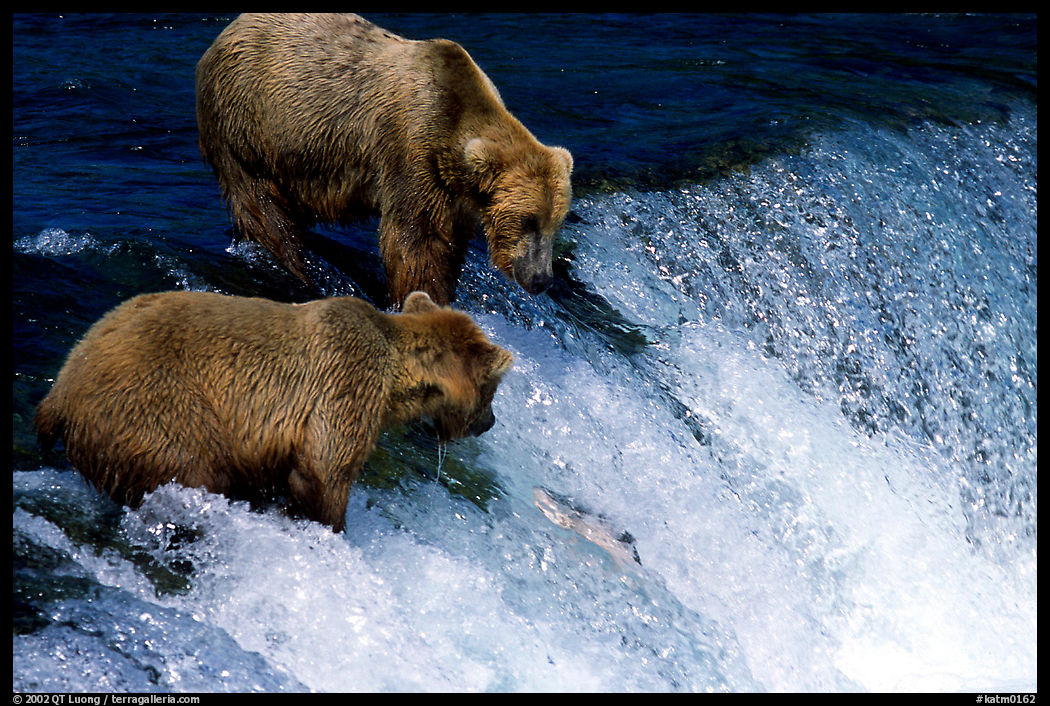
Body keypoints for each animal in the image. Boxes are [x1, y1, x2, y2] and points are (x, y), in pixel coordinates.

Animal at [34, 289, 513, 532]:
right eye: (493, 390)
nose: (489, 423)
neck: (397, 375)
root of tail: (59, 392)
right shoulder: (345, 380)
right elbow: (324, 470)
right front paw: (330, 527)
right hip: (155, 404)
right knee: (196, 468)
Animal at [195, 12, 574, 307]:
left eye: (555, 222)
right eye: (527, 220)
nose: (541, 279)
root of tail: (225, 32)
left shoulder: (455, 195)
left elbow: (448, 245)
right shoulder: (412, 153)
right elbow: (415, 241)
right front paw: (422, 295)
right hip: (247, 125)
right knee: (262, 209)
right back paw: (294, 267)